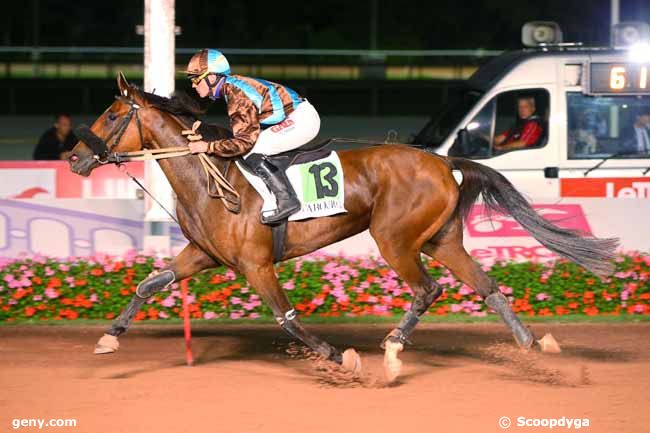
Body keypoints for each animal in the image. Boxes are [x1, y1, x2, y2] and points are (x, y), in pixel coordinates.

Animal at [67, 74, 616, 382]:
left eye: (112, 114)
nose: (74, 157)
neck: (209, 178)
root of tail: (445, 162)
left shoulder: (256, 264)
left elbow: (286, 318)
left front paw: (339, 357)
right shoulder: (203, 255)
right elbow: (148, 284)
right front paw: (110, 338)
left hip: (395, 238)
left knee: (429, 289)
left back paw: (392, 351)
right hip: (440, 239)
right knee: (486, 286)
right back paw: (532, 346)